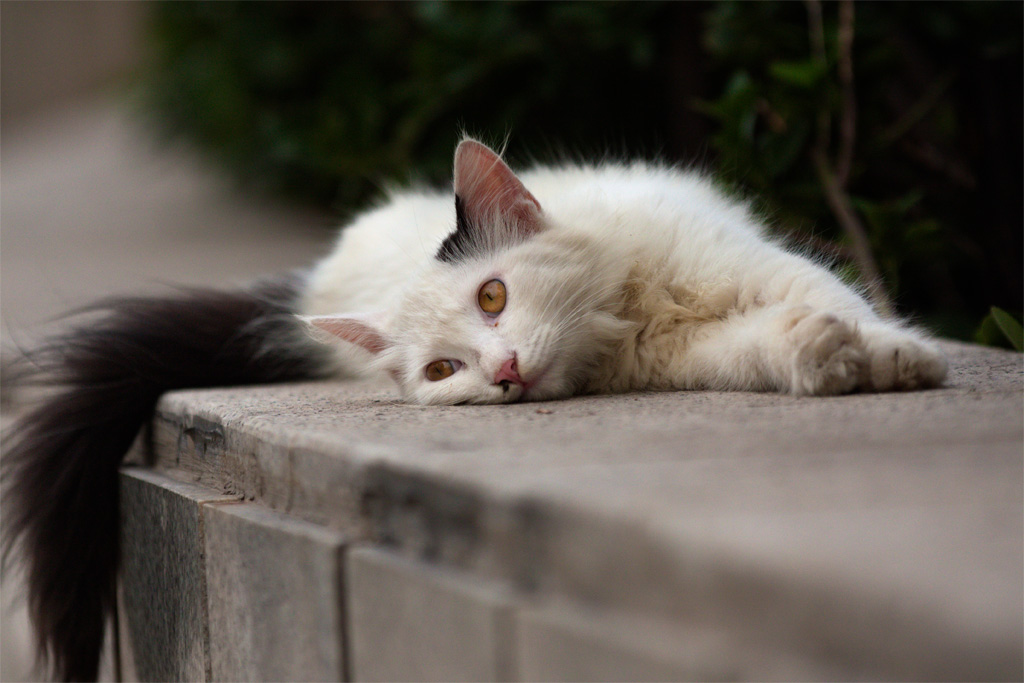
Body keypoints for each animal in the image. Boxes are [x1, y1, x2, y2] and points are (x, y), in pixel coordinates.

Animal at [299, 141, 946, 403]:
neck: (631, 313)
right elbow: (763, 345)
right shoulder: (701, 354)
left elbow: (844, 304)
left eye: (492, 297)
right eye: (442, 371)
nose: (505, 372)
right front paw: (820, 356)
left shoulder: (761, 268)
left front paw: (896, 358)